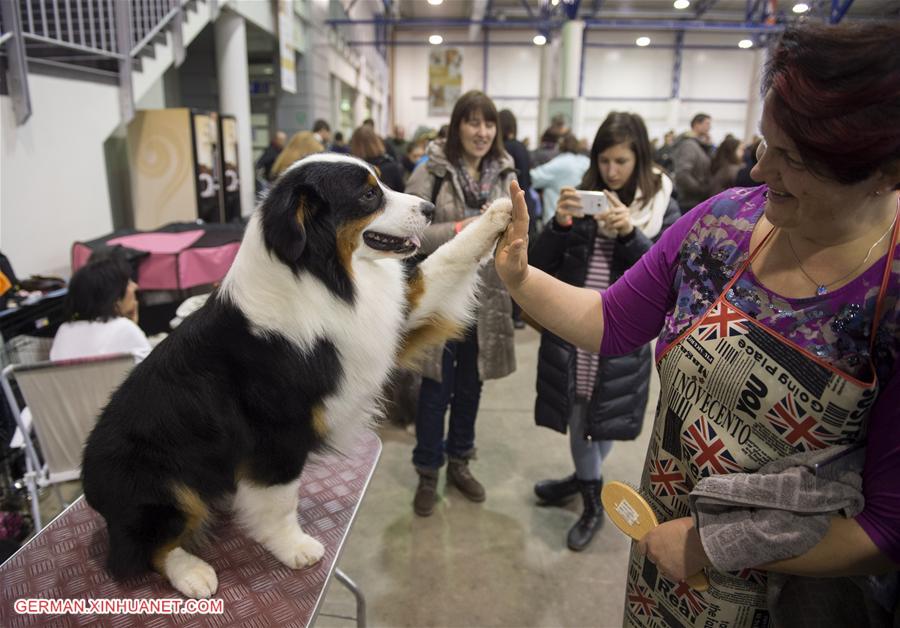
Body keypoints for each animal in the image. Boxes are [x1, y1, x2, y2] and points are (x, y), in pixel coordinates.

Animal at [83, 153, 512, 600]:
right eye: (369, 194)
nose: (429, 209)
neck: (321, 278)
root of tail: (90, 483)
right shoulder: (277, 432)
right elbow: (279, 500)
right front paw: (293, 548)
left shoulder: (391, 319)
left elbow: (442, 263)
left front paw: (497, 213)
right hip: (156, 484)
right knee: (144, 549)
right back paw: (192, 573)